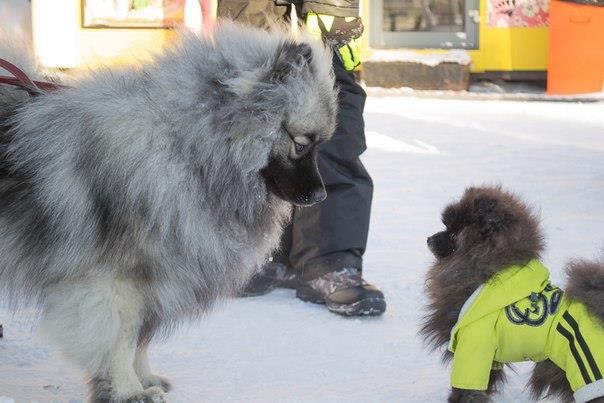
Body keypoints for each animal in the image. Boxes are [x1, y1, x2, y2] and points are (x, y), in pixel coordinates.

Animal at [0, 23, 338, 402]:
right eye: (301, 144)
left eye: (319, 145)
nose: (321, 195)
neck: (186, 151)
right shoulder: (114, 282)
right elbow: (121, 340)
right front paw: (128, 390)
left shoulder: (158, 278)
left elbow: (141, 340)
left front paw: (144, 379)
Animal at [422, 188, 600, 402]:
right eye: (446, 227)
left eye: (454, 235)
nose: (429, 239)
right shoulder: (489, 359)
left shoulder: (473, 348)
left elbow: (466, 388)